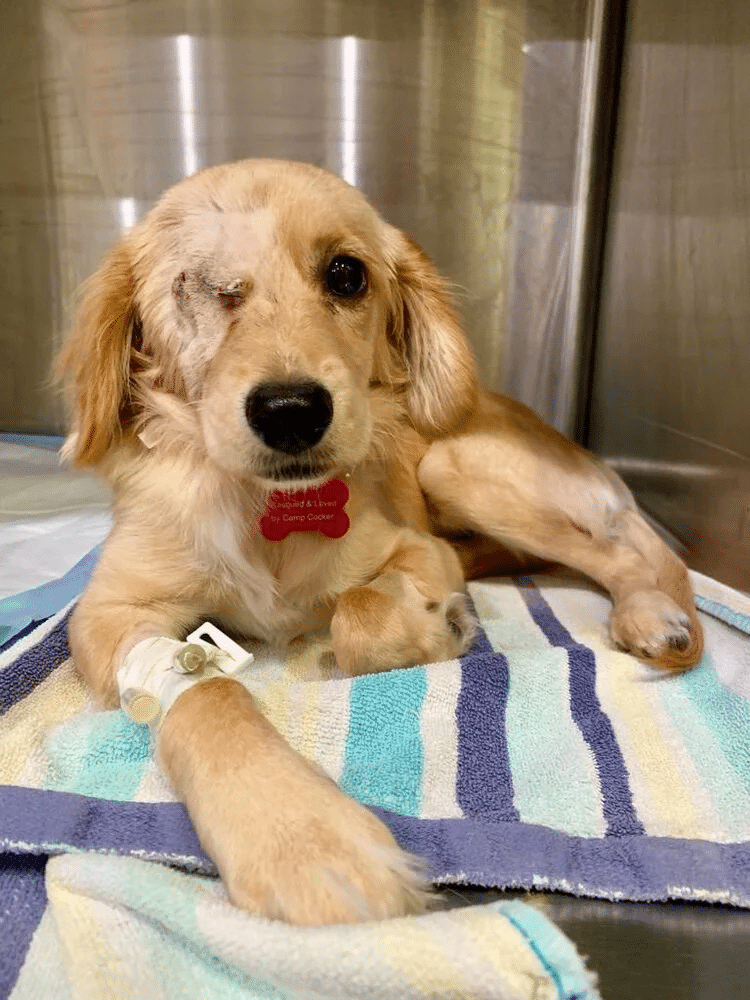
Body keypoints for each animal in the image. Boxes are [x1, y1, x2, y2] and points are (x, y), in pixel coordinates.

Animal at [56, 158, 703, 926]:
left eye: (346, 274)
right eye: (203, 283)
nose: (292, 412)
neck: (270, 512)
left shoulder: (418, 552)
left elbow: (358, 614)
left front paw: (434, 629)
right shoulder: (109, 613)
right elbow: (207, 690)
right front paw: (301, 836)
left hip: (450, 463)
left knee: (630, 549)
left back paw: (652, 615)